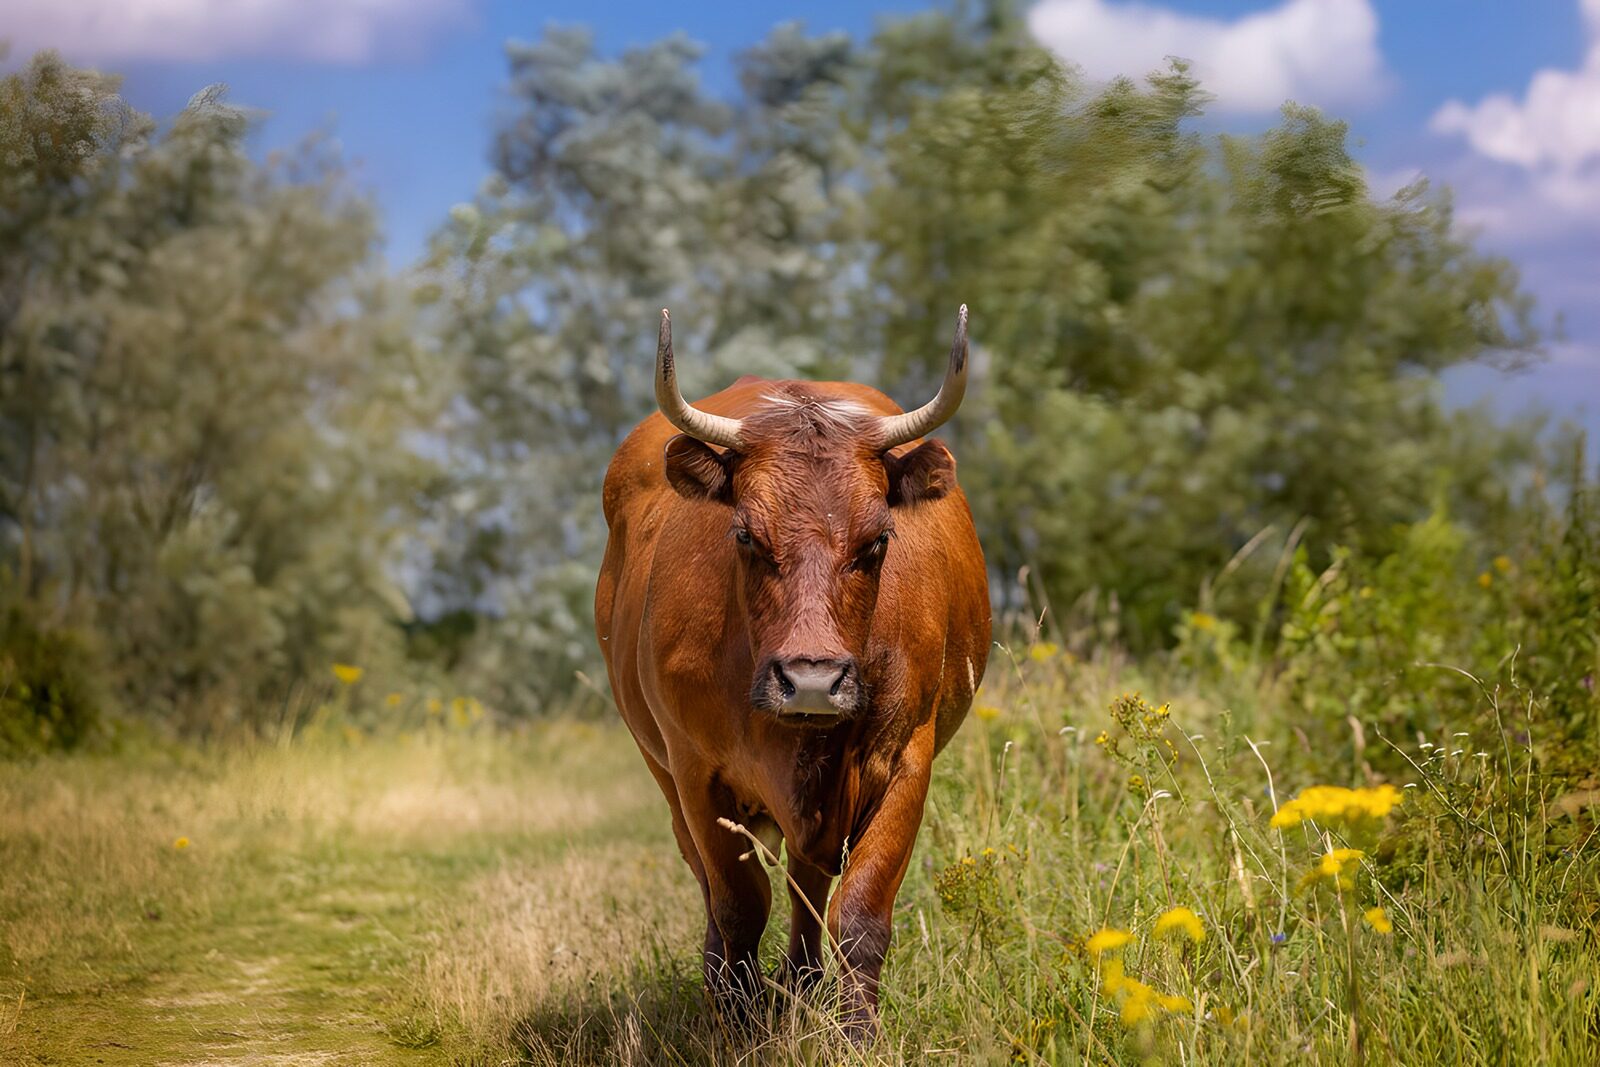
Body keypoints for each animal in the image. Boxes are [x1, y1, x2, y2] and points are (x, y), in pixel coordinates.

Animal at [593, 307, 991, 1040]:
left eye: (878, 539)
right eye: (746, 535)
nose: (811, 680)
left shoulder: (906, 760)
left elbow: (860, 913)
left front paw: (856, 1035)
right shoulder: (696, 772)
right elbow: (738, 906)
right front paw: (736, 1021)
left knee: (809, 885)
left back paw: (802, 983)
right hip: (663, 771)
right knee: (716, 890)